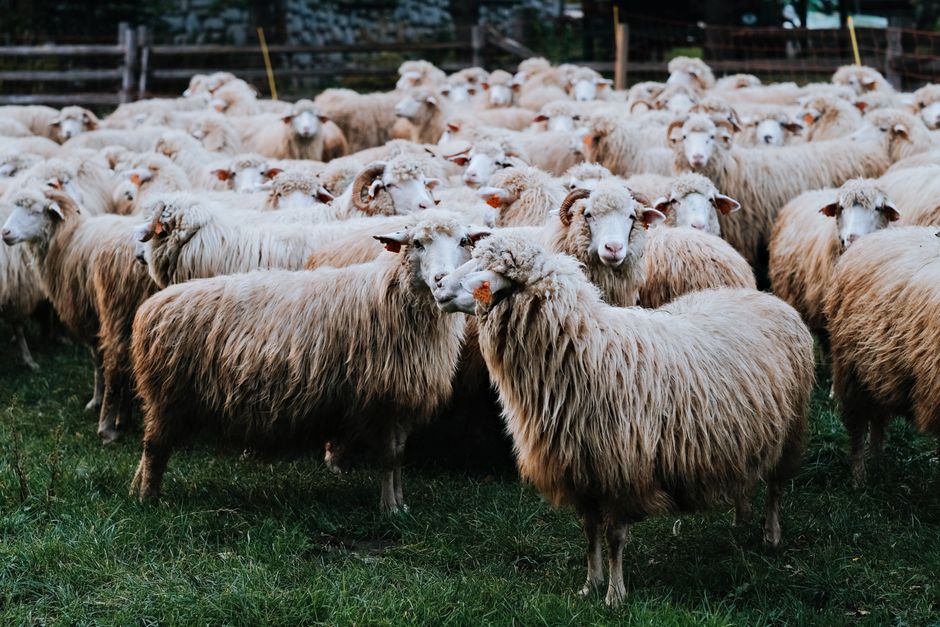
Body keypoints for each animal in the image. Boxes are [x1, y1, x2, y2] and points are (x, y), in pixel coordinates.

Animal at [129, 211, 486, 512]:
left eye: (463, 241)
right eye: (417, 243)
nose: (441, 278)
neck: (394, 297)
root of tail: (153, 305)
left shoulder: (402, 399)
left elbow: (398, 456)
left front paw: (400, 503)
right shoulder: (383, 396)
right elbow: (388, 458)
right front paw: (389, 508)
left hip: (167, 400)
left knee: (149, 446)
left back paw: (135, 488)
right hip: (168, 394)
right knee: (154, 447)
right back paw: (148, 500)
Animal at [436, 234, 812, 607]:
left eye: (487, 271)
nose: (438, 285)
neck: (583, 347)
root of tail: (766, 297)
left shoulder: (620, 468)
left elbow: (614, 536)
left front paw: (615, 596)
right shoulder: (581, 469)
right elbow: (590, 533)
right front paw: (591, 584)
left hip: (791, 429)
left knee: (776, 486)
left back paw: (771, 535)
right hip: (744, 433)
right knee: (745, 478)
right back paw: (739, 521)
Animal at [825, 226, 940, 484]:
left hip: (881, 371)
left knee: (878, 417)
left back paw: (878, 460)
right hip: (854, 371)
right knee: (858, 425)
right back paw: (859, 477)